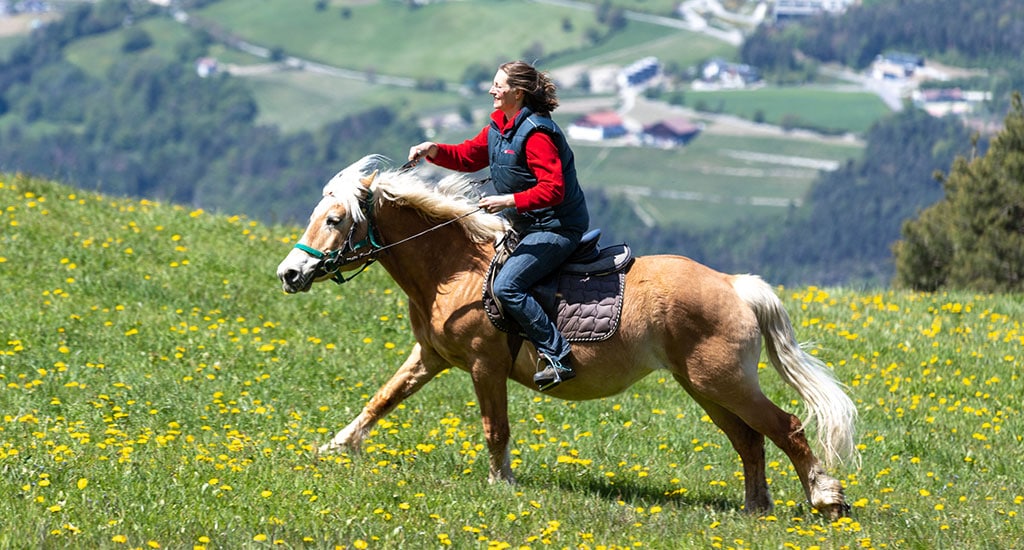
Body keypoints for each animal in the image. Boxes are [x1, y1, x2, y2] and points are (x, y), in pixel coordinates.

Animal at [276, 155, 860, 518]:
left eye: (335, 219)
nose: (289, 274)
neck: (454, 271)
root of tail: (736, 286)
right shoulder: (430, 356)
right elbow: (381, 400)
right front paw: (333, 447)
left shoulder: (485, 366)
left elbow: (495, 429)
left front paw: (502, 484)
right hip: (705, 386)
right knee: (750, 439)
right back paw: (755, 509)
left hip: (723, 381)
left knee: (786, 427)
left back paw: (825, 499)